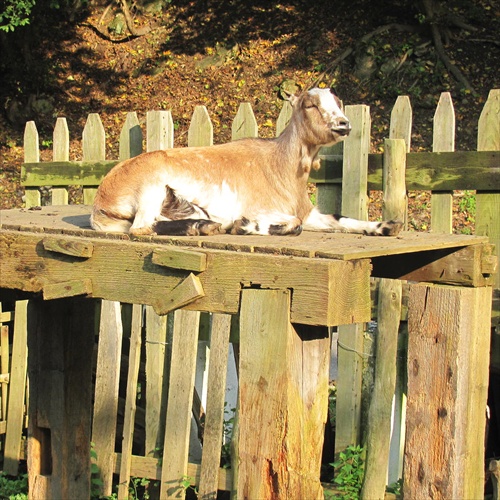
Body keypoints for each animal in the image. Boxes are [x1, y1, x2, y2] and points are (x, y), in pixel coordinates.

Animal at [90, 89, 402, 237]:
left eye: (337, 102)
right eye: (310, 105)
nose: (343, 124)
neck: (280, 166)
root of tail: (102, 200)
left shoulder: (309, 211)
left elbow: (339, 218)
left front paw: (387, 226)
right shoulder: (262, 208)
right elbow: (294, 224)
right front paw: (244, 226)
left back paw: (202, 224)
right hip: (151, 187)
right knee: (140, 227)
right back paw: (205, 227)